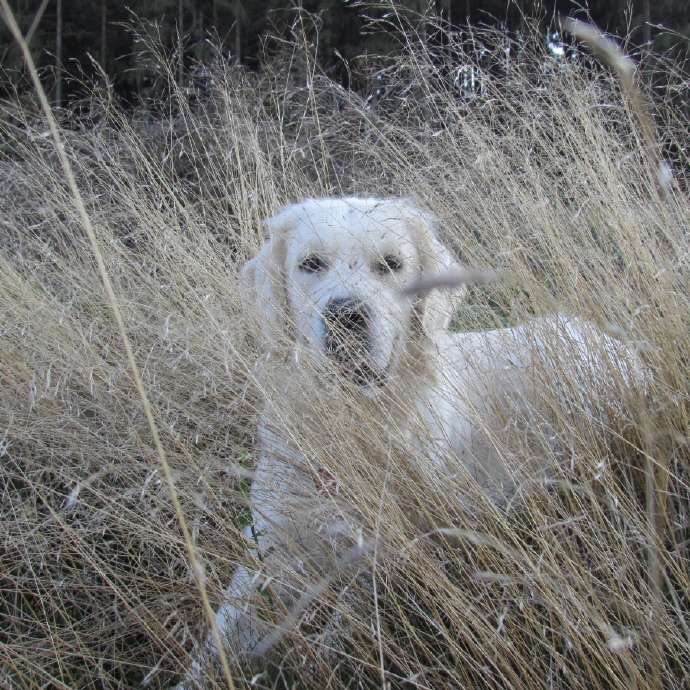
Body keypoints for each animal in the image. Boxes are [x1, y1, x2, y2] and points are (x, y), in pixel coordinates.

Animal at [176, 197, 640, 687]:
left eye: (391, 265)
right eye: (311, 264)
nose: (346, 315)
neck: (358, 424)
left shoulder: (390, 555)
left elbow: (340, 634)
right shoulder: (271, 547)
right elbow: (217, 643)